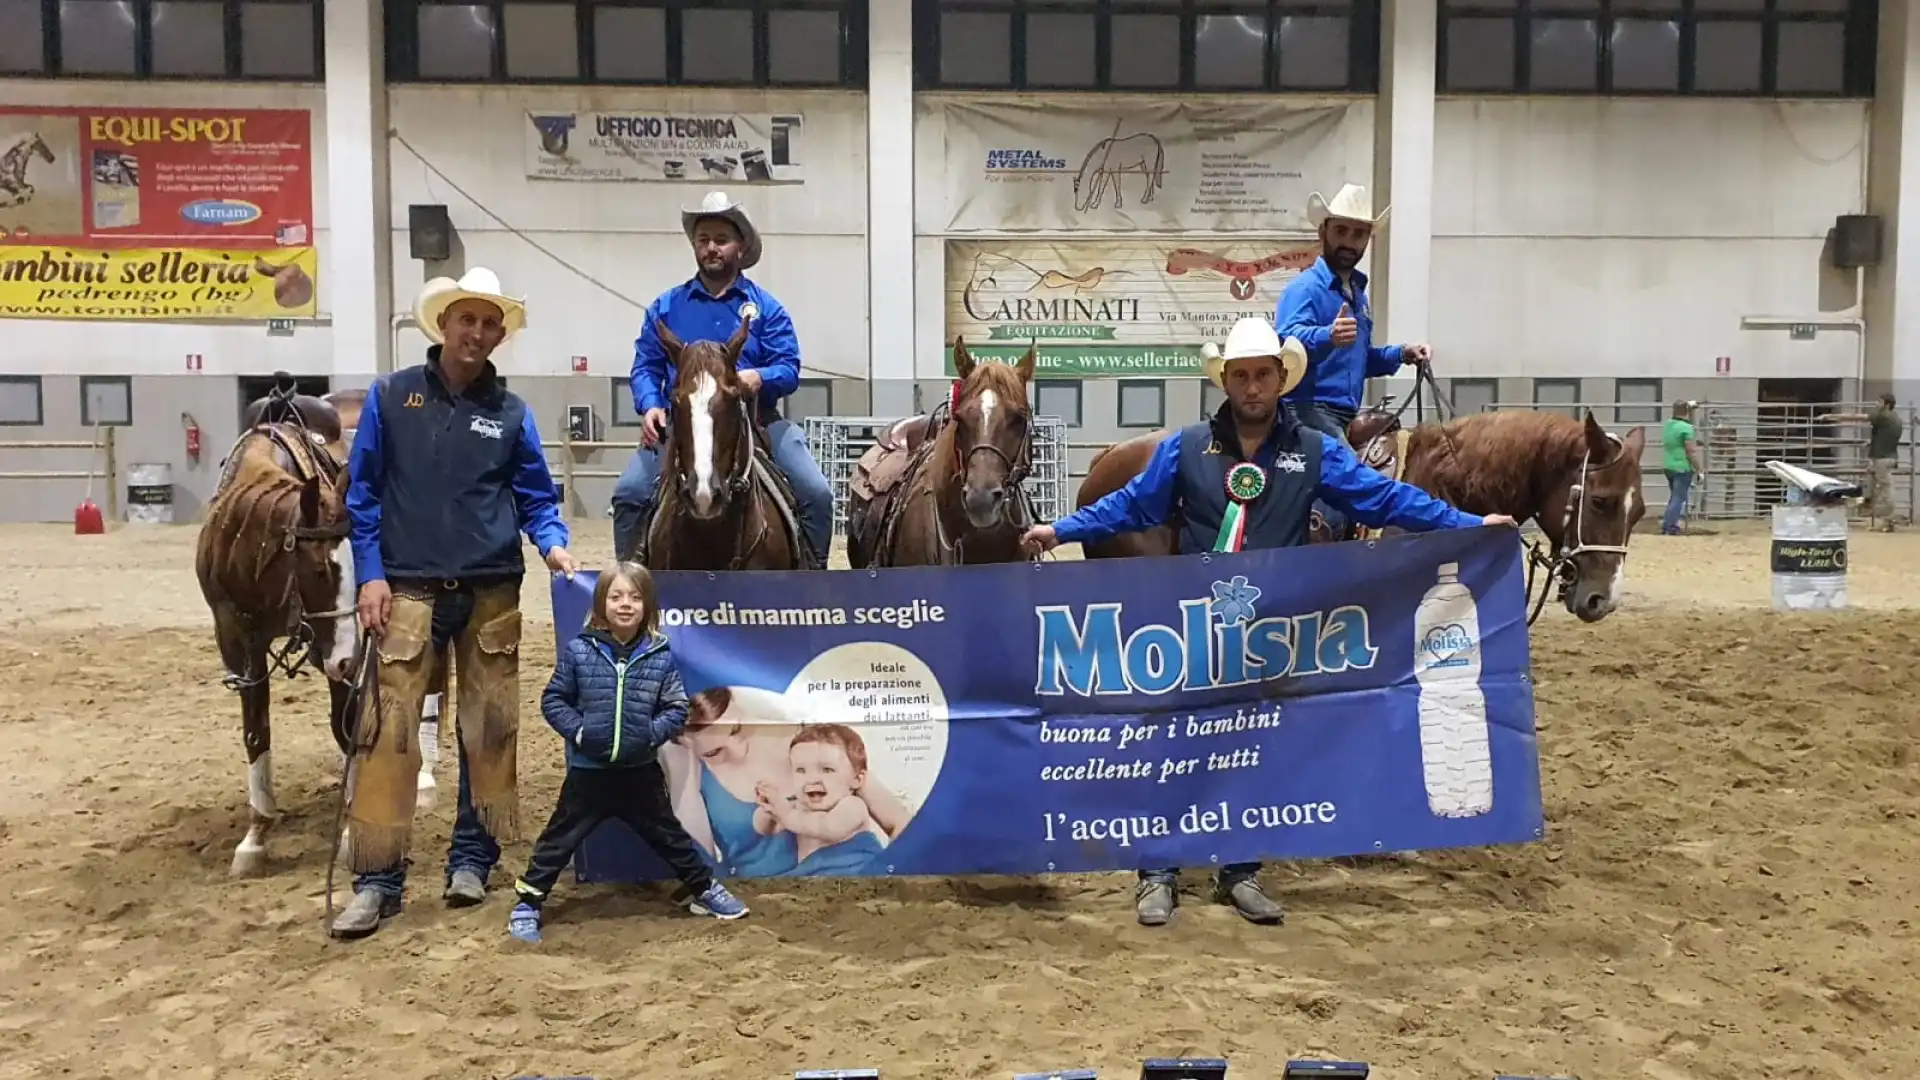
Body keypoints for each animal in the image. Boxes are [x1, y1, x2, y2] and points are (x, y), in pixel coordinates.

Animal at [196, 386, 360, 876]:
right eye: (320, 570)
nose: (350, 660)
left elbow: (347, 724)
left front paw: (351, 829)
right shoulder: (237, 637)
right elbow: (256, 730)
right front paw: (255, 837)